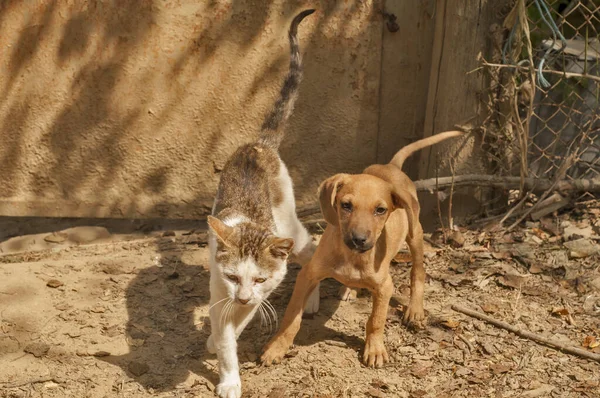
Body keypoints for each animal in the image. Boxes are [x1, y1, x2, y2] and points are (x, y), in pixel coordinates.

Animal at [206, 9, 316, 398]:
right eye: (232, 275)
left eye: (259, 277)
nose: (242, 297)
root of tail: (259, 143)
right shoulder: (220, 288)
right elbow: (226, 338)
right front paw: (227, 375)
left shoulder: (262, 292)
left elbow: (239, 325)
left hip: (290, 225)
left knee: (313, 247)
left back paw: (310, 299)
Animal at [262, 130, 464, 366]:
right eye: (346, 205)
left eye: (380, 210)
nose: (359, 239)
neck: (352, 257)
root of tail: (390, 166)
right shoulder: (308, 275)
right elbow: (291, 317)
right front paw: (277, 348)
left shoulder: (385, 287)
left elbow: (376, 320)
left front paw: (375, 349)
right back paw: (350, 289)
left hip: (415, 235)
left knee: (418, 272)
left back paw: (414, 309)